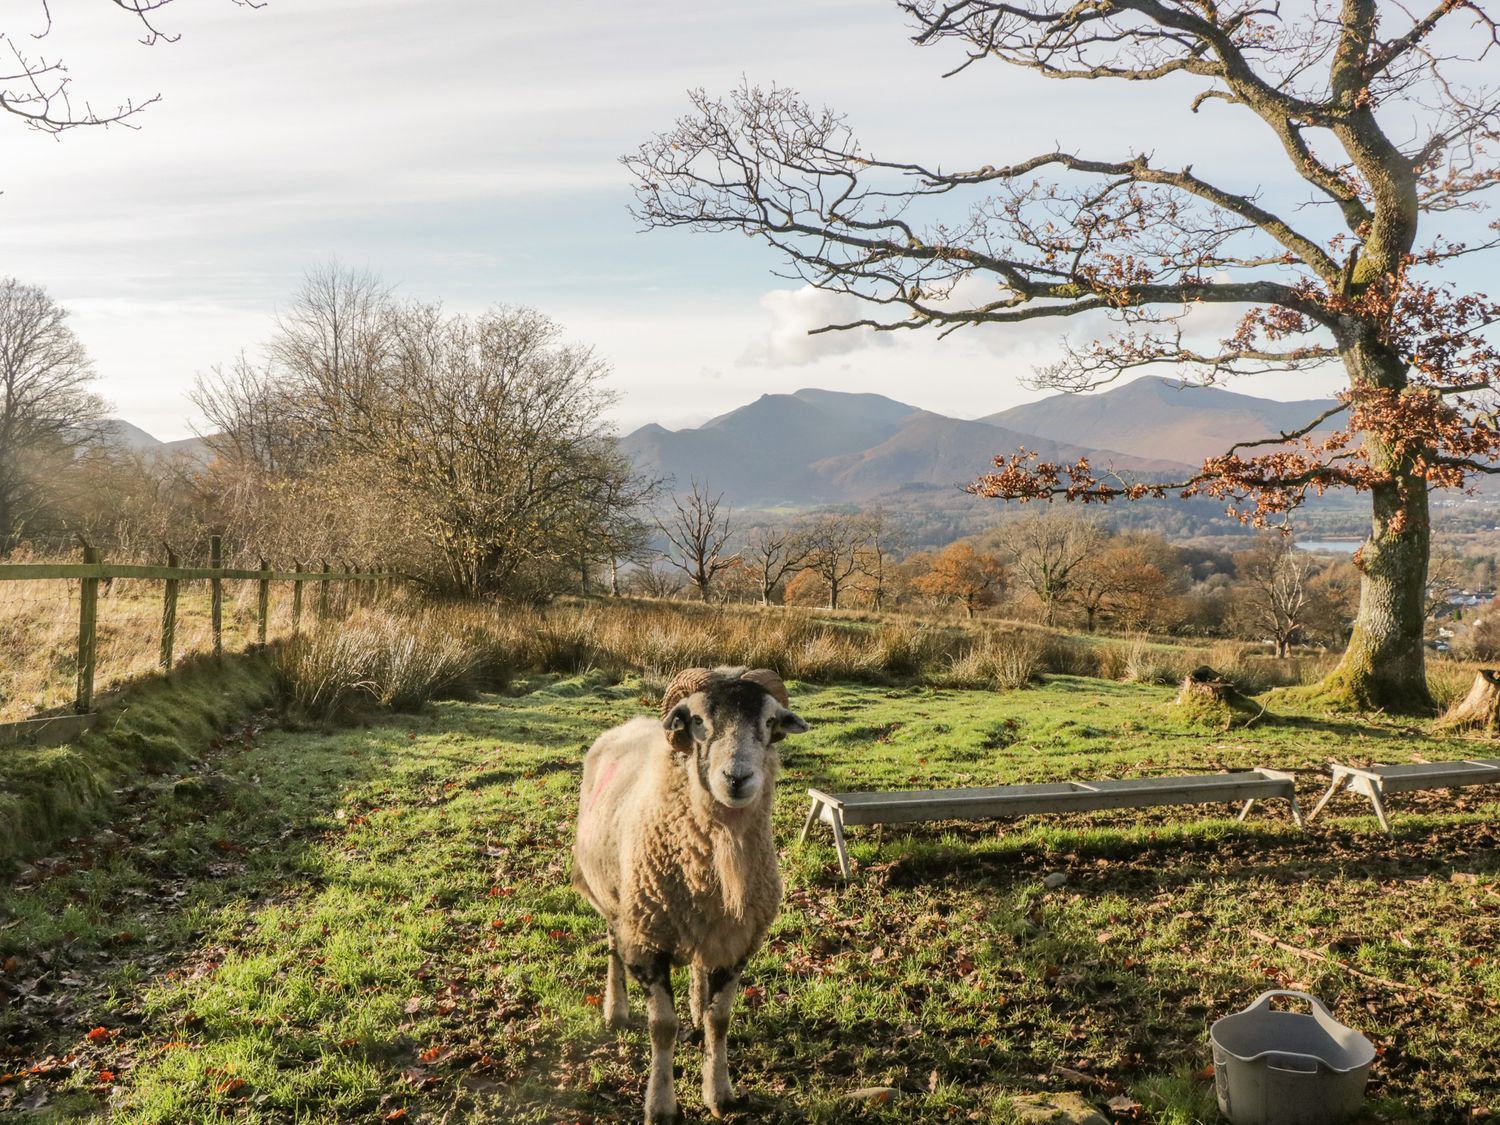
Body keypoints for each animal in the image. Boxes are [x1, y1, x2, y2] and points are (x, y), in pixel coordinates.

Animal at [570, 666, 810, 1122]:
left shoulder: (738, 942)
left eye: (770, 721)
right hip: (614, 900)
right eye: (697, 720)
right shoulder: (646, 941)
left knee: (699, 971)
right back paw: (616, 1010)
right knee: (611, 947)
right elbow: (662, 1027)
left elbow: (720, 1019)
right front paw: (660, 1106)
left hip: (705, 924)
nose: (737, 778)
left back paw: (696, 1009)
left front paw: (719, 1093)